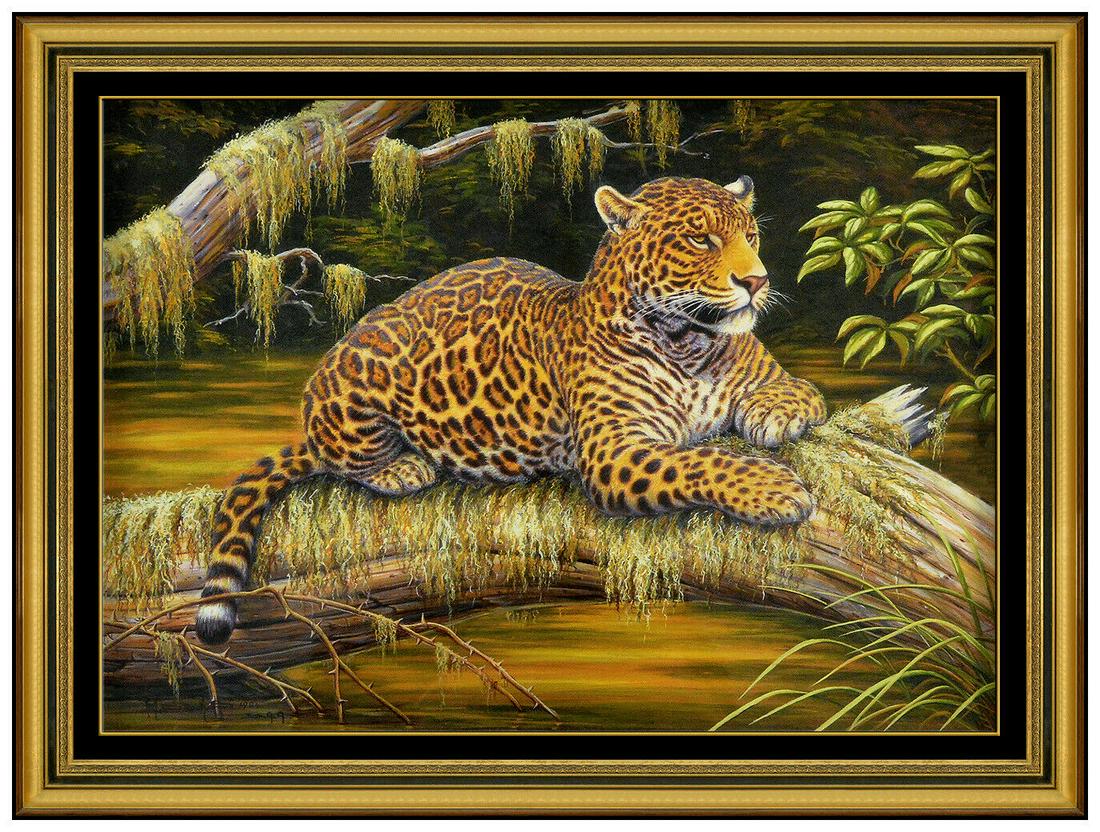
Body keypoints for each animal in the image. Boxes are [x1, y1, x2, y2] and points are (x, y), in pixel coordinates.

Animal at [196, 175, 828, 644]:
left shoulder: (764, 374)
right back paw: (402, 466)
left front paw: (777, 414)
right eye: (700, 241)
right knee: (339, 455)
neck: (687, 342)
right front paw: (775, 490)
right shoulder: (614, 450)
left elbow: (795, 391)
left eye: (751, 234)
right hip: (349, 391)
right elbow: (698, 462)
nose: (757, 280)